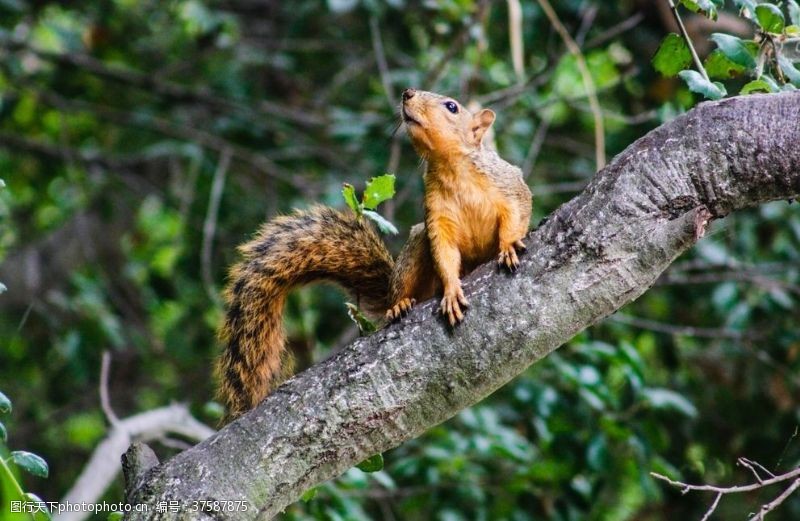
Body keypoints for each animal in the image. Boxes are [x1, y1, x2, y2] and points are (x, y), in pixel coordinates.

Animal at [216, 89, 536, 420]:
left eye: (452, 107)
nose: (407, 93)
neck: (452, 169)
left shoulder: (508, 185)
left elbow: (516, 214)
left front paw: (508, 247)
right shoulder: (437, 219)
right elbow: (445, 255)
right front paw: (451, 291)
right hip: (417, 247)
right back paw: (399, 304)